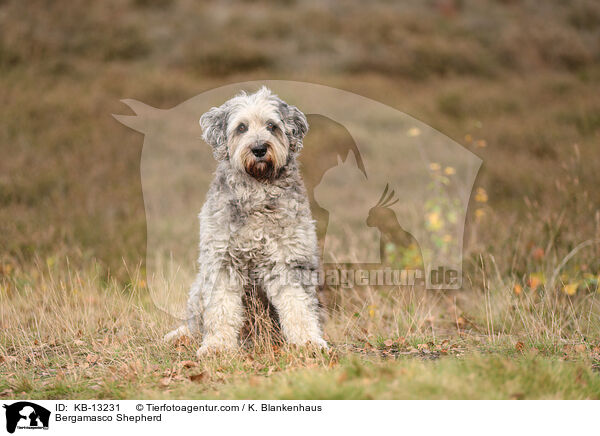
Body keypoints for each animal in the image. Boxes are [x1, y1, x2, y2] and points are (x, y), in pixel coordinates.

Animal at [164, 87, 326, 356]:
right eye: (241, 127)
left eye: (272, 126)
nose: (259, 148)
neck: (257, 191)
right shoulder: (222, 260)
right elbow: (221, 308)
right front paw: (217, 346)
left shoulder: (289, 259)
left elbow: (299, 306)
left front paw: (308, 341)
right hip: (199, 286)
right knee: (195, 321)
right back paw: (180, 335)